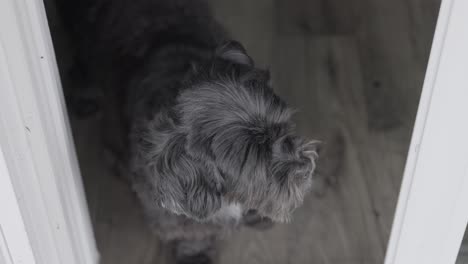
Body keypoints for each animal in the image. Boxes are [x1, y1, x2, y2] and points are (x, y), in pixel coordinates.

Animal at [54, 0, 318, 262]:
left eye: (283, 126)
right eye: (251, 158)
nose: (305, 167)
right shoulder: (173, 213)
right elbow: (193, 234)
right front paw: (196, 255)